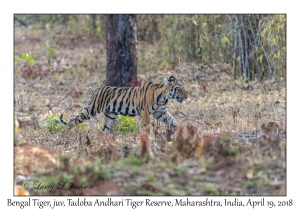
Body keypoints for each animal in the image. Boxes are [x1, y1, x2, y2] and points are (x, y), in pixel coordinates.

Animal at [60, 76, 188, 133]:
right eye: (179, 89)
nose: (187, 96)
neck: (164, 97)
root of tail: (97, 90)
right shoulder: (145, 112)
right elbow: (147, 127)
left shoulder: (160, 113)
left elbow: (173, 120)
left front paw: (173, 132)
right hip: (91, 110)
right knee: (72, 120)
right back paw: (66, 135)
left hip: (110, 115)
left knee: (105, 129)